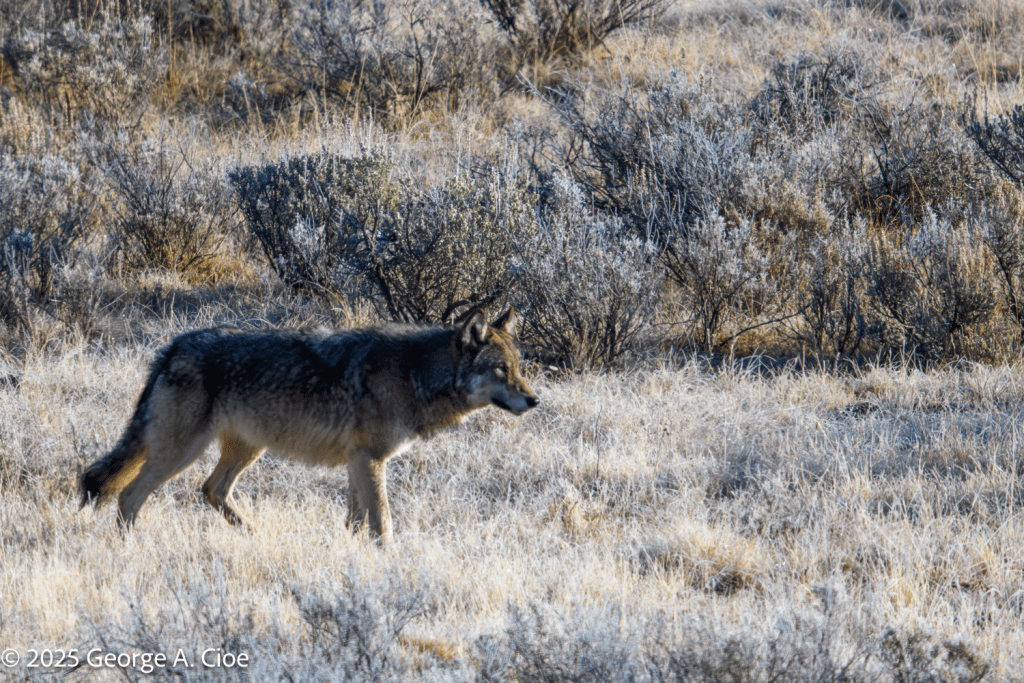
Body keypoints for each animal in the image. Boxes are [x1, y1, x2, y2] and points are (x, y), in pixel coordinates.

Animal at [79, 308, 539, 542]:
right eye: (500, 370)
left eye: (519, 368)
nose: (535, 401)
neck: (414, 375)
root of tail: (173, 346)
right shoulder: (370, 460)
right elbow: (383, 522)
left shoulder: (358, 462)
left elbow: (356, 522)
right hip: (184, 452)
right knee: (129, 496)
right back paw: (131, 547)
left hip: (246, 450)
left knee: (211, 490)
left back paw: (255, 535)